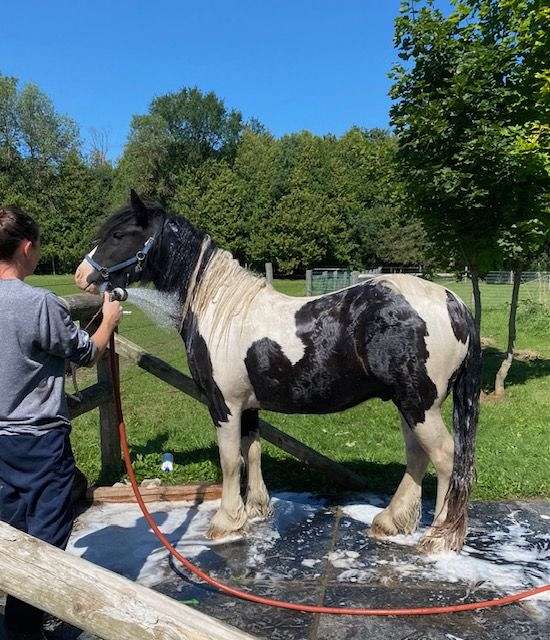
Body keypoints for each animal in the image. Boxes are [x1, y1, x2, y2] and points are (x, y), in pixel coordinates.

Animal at [74, 189, 484, 552]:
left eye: (119, 235)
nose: (81, 275)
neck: (221, 311)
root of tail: (454, 302)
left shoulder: (224, 405)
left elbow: (230, 460)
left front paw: (226, 522)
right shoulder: (248, 405)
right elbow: (251, 451)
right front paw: (255, 511)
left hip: (419, 404)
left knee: (446, 457)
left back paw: (438, 537)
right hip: (409, 404)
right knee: (418, 455)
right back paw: (392, 521)